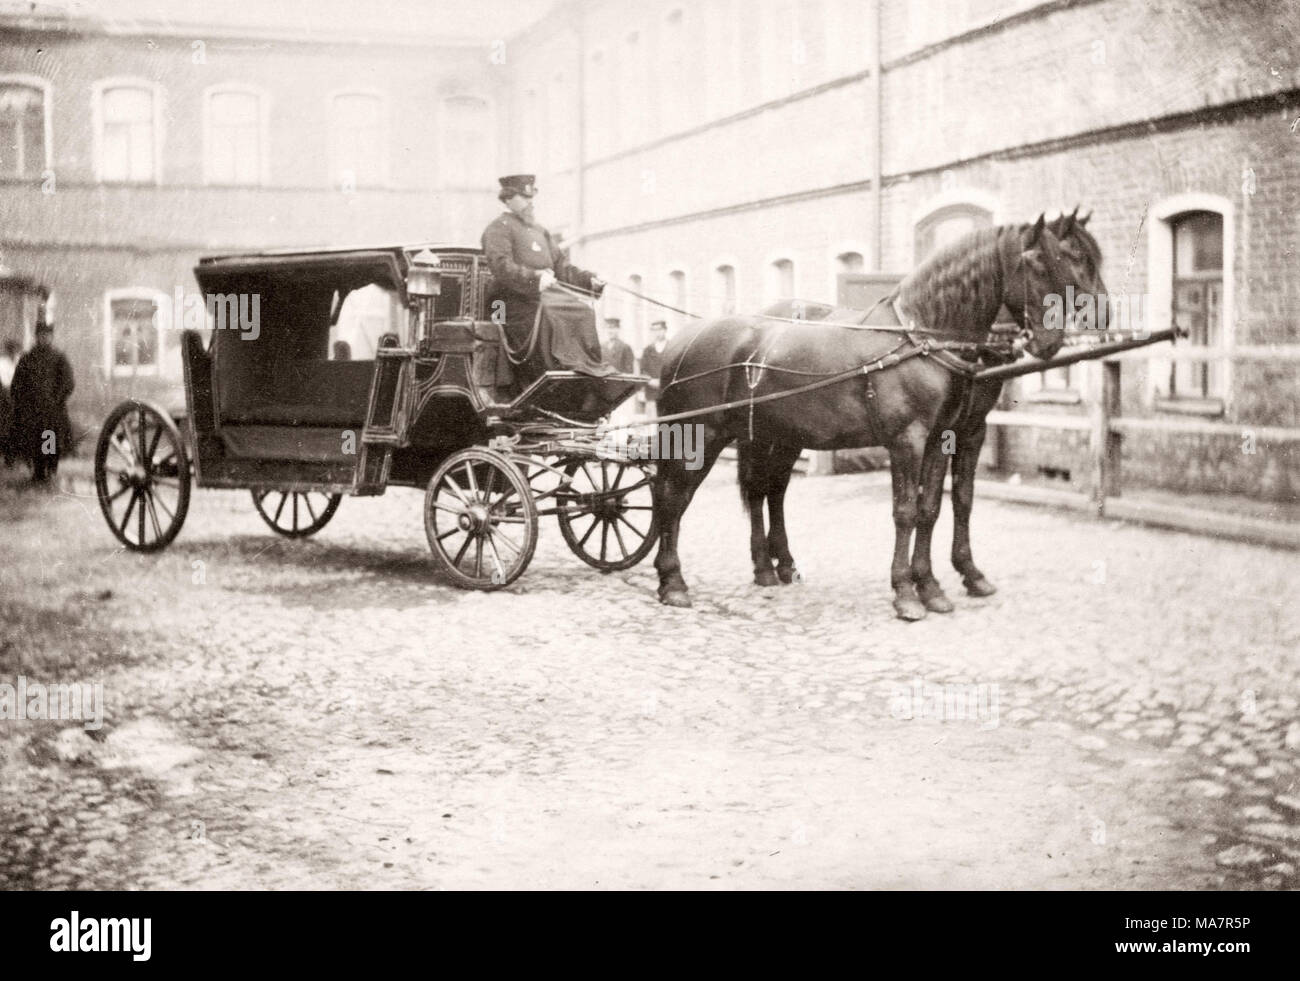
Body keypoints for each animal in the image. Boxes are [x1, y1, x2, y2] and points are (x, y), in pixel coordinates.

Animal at [650, 214, 1107, 618]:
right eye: (1040, 260)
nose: (1052, 338)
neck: (922, 339)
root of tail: (679, 345)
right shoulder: (907, 441)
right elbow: (905, 512)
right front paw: (906, 593)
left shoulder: (946, 437)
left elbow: (934, 507)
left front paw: (934, 587)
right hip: (699, 437)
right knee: (673, 497)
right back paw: (673, 582)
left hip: (772, 436)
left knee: (765, 491)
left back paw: (766, 569)